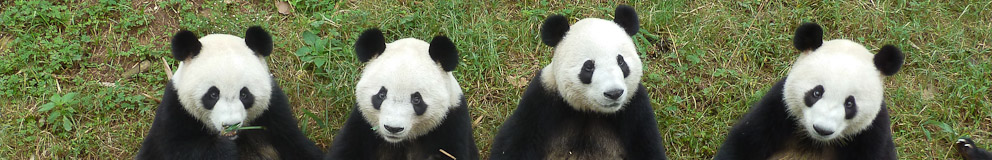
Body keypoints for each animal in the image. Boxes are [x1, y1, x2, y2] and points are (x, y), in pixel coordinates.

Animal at [135, 26, 322, 159]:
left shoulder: (274, 113)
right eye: (213, 94)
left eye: (244, 94)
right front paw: (223, 148)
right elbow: (179, 149)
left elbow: (297, 145)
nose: (230, 125)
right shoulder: (175, 113)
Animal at [326, 28, 480, 159]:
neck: (400, 142)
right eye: (381, 95)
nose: (393, 128)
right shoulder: (361, 125)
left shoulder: (451, 125)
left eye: (416, 99)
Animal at [488, 4, 668, 159]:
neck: (589, 111)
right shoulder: (542, 102)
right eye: (588, 67)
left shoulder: (635, 109)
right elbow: (514, 143)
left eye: (621, 61)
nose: (614, 93)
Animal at [712, 22, 908, 160]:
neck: (815, 142)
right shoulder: (778, 109)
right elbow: (743, 143)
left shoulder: (871, 134)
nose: (822, 129)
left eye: (850, 103)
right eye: (816, 93)